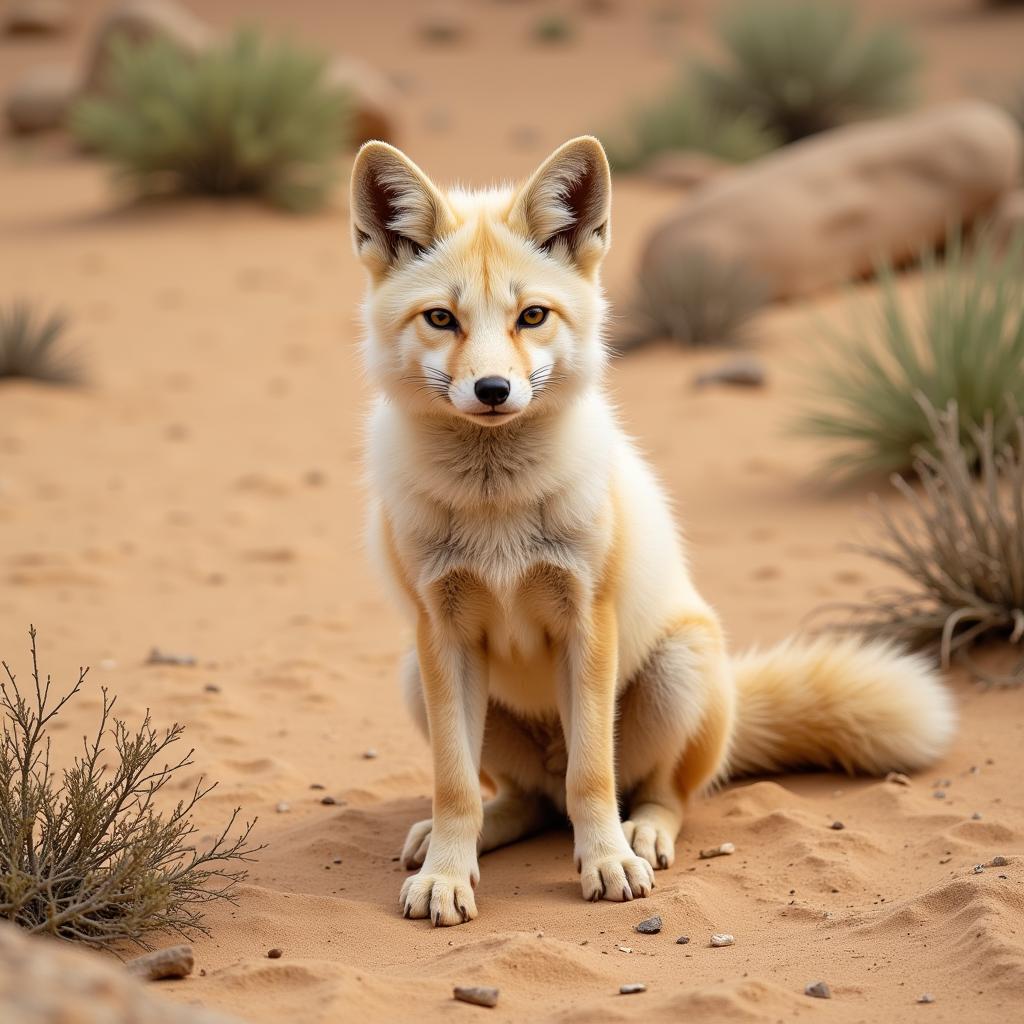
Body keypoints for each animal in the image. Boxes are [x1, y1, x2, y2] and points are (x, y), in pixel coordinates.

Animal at [348, 136, 954, 929]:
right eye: (442, 320)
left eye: (533, 316)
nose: (492, 391)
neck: (496, 511)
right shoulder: (441, 631)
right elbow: (453, 788)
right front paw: (448, 875)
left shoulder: (588, 621)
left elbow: (593, 779)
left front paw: (606, 862)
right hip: (418, 679)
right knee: (528, 802)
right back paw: (469, 835)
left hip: (674, 670)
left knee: (655, 794)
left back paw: (641, 836)